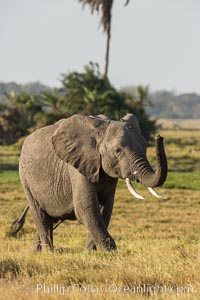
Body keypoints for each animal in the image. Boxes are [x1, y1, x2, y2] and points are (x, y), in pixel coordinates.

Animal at [10, 113, 167, 252]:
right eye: (118, 150)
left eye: (145, 148)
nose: (159, 137)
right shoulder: (78, 167)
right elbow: (86, 207)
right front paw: (111, 253)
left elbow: (105, 208)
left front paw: (90, 253)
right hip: (25, 177)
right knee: (41, 217)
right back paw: (49, 253)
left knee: (49, 220)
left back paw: (35, 253)